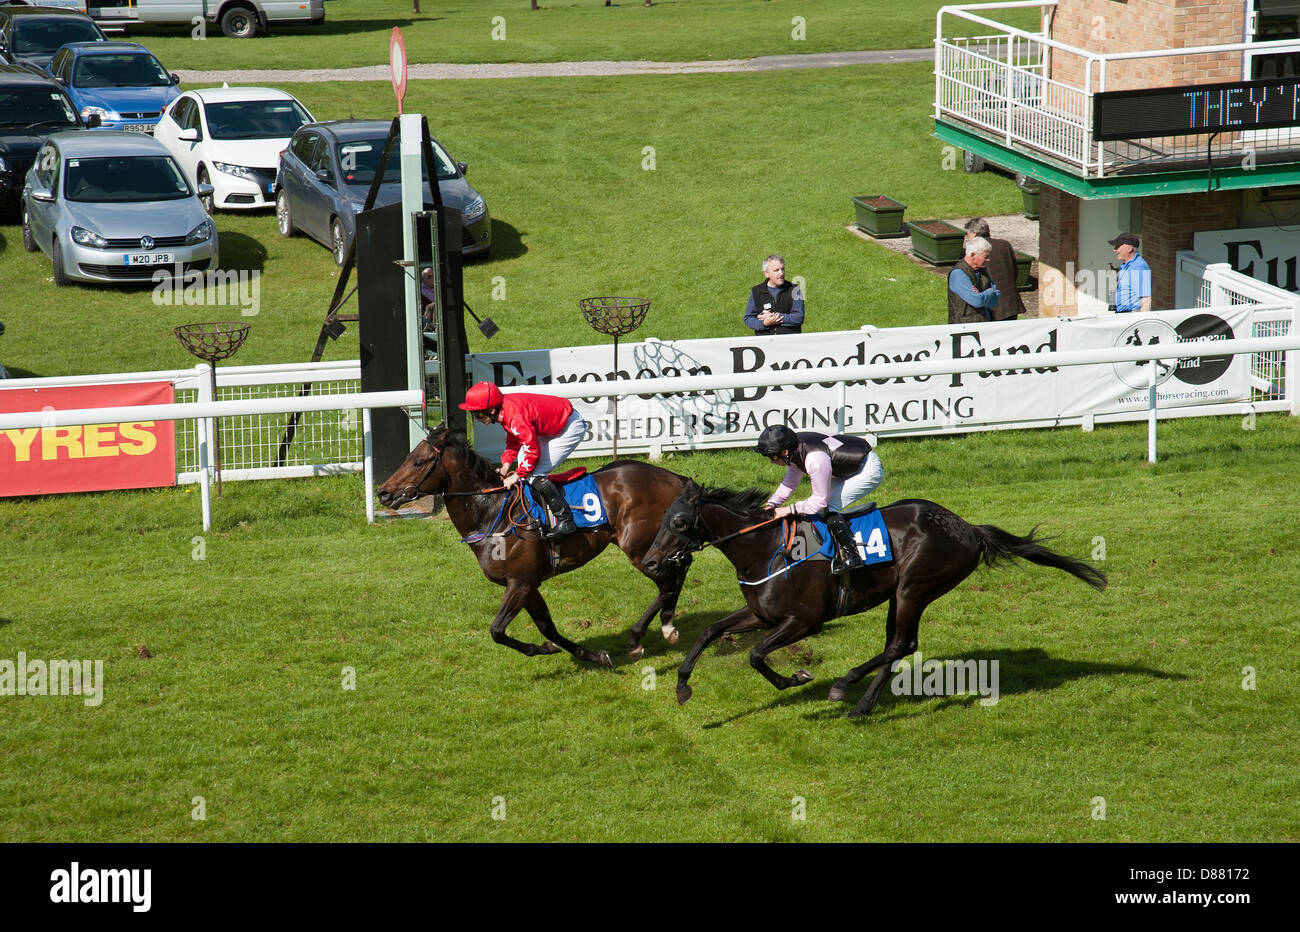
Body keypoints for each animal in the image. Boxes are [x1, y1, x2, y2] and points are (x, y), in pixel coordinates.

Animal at [379, 426, 691, 665]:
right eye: (409, 457)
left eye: (419, 462)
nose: (383, 492)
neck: (492, 514)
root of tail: (674, 477)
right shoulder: (527, 585)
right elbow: (547, 628)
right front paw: (587, 654)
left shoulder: (521, 582)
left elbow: (497, 630)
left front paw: (541, 649)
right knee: (680, 568)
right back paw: (665, 626)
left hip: (640, 548)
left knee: (668, 582)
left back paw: (643, 636)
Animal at [639, 483, 1107, 717]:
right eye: (661, 519)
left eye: (679, 522)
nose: (651, 561)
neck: (765, 548)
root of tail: (966, 527)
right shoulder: (761, 613)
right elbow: (710, 632)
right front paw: (682, 686)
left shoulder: (804, 621)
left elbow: (755, 655)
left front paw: (798, 678)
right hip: (900, 595)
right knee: (898, 645)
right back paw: (863, 704)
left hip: (914, 588)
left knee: (900, 643)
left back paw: (846, 687)